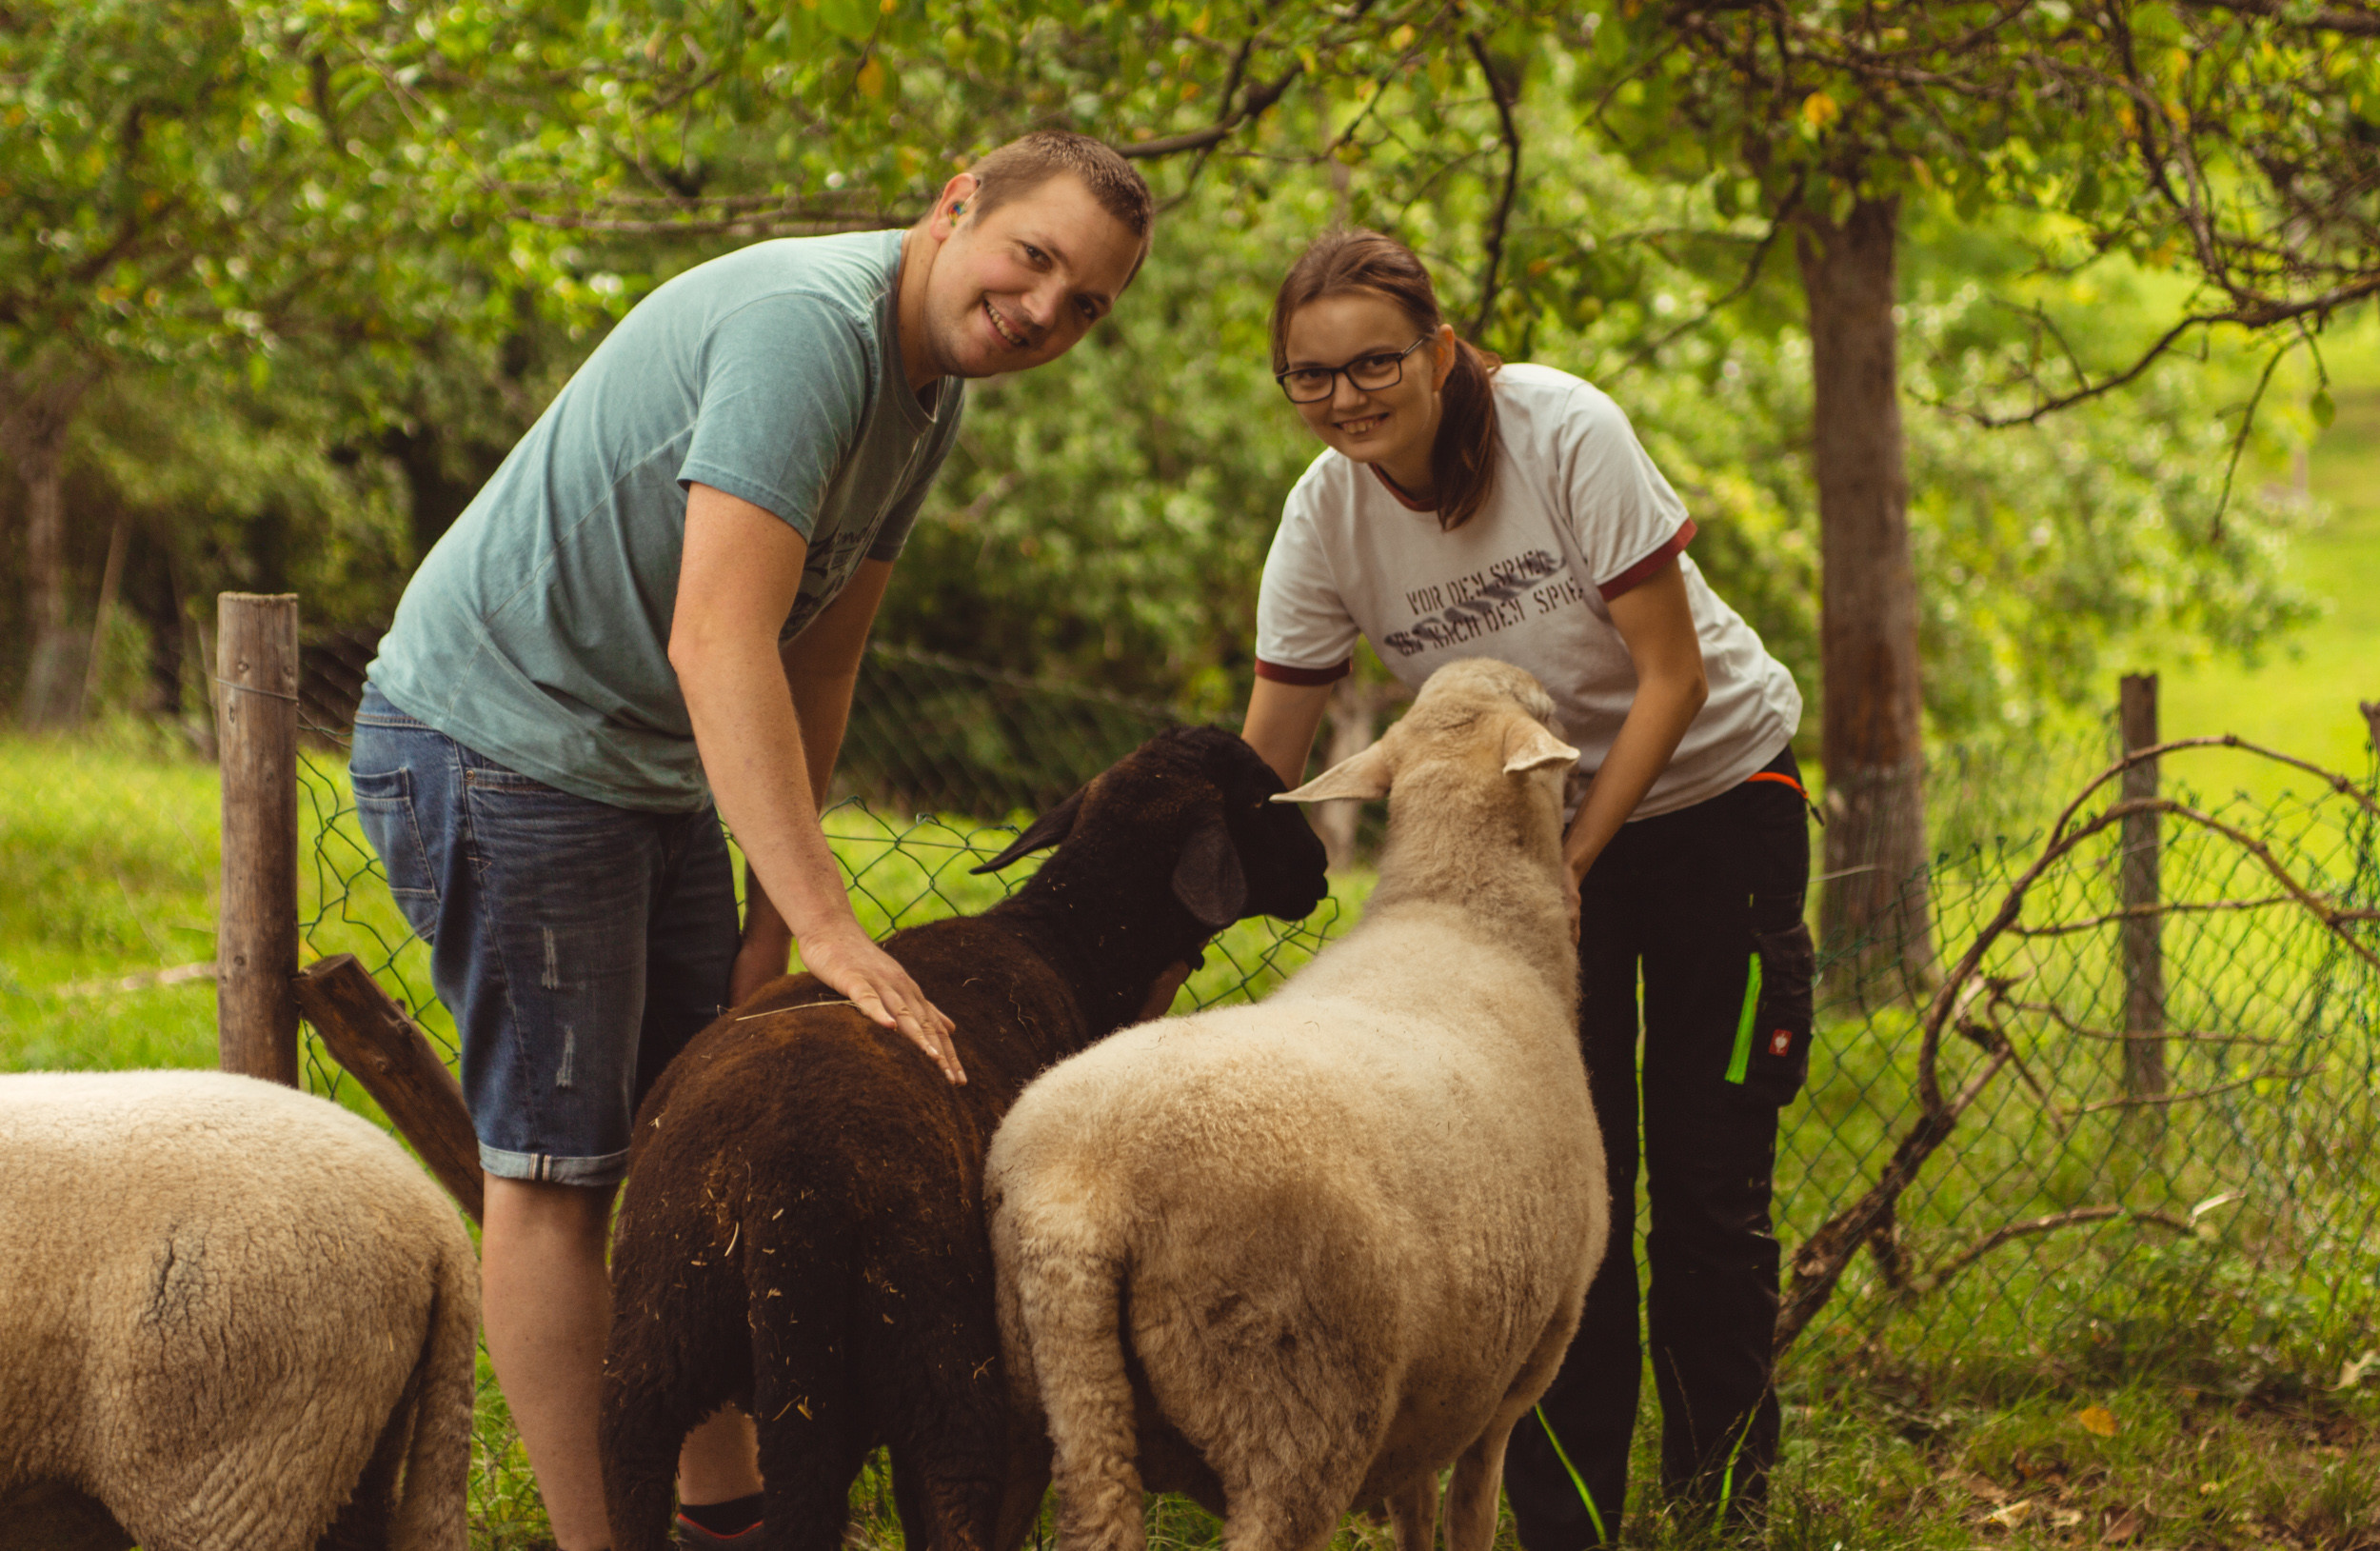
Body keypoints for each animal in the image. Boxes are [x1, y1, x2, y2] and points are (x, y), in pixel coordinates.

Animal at [605, 727, 1333, 1551]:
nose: (1322, 869)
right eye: (1265, 797)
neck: (1063, 943)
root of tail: (784, 1184)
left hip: (658, 1351)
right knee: (951, 1492)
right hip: (935, 1354)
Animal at [985, 661, 1618, 1551]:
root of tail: (1079, 1199)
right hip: (1296, 1404)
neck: (1464, 911)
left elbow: (1415, 1510)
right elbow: (1470, 1513)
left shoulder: (1433, 1394)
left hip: (1032, 1396)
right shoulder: (1514, 1377)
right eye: (1547, 712)